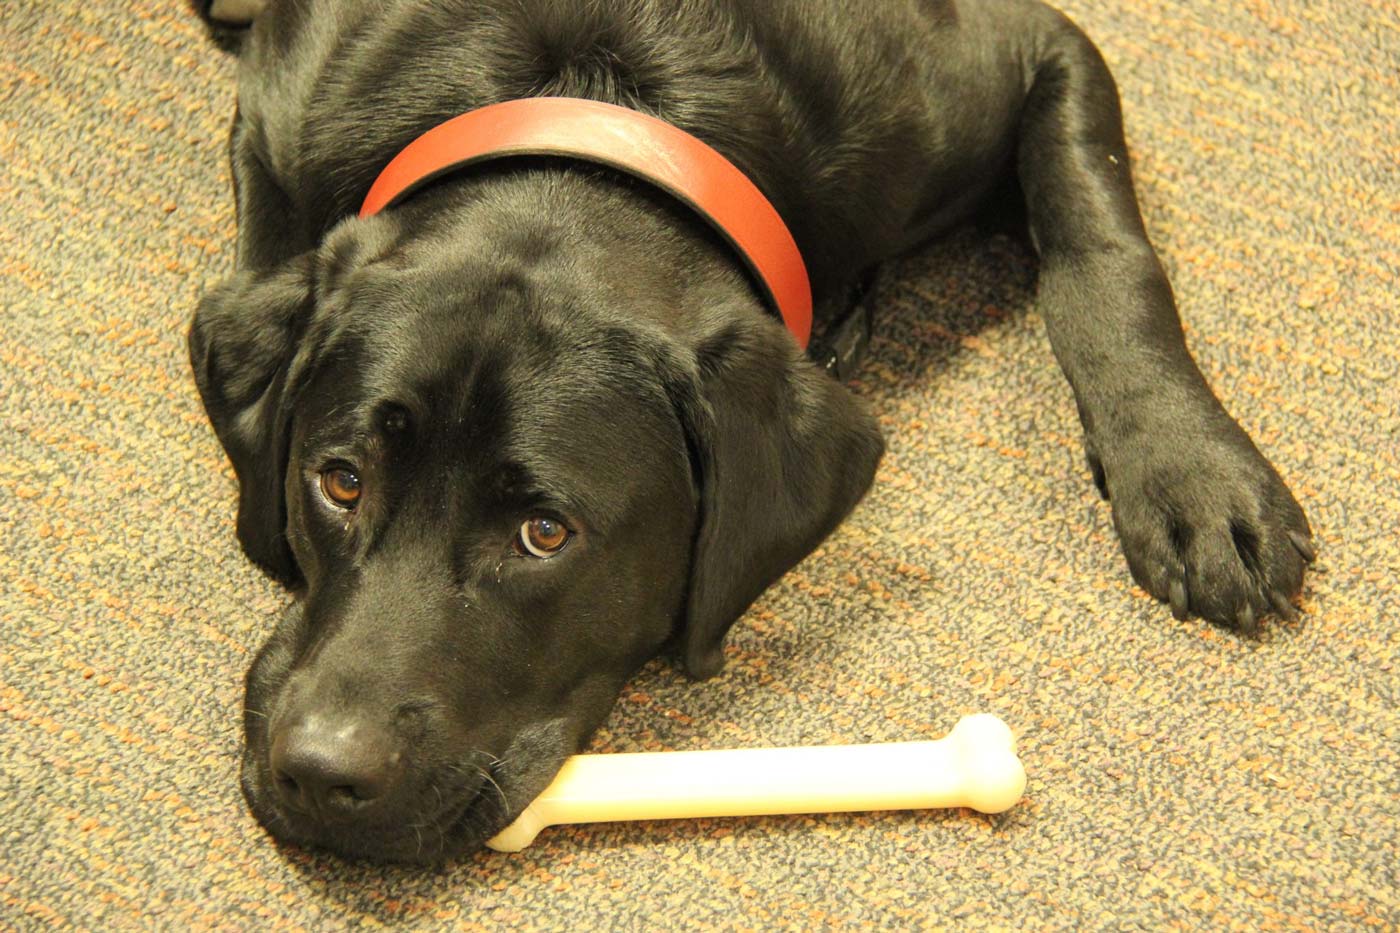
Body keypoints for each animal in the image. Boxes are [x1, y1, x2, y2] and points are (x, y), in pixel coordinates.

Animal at [186, 0, 1310, 862]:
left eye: (545, 534)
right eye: (339, 480)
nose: (318, 773)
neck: (606, 101)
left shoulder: (1033, 50)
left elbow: (1099, 248)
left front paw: (1192, 475)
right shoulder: (280, 137)